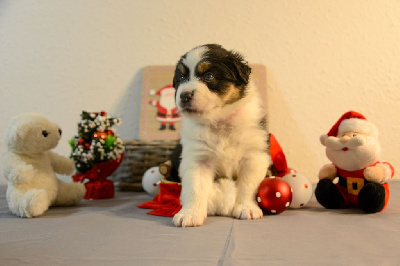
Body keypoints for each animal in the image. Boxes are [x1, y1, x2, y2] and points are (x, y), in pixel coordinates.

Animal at [172, 43, 268, 227]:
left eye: (209, 76)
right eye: (180, 78)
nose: (184, 95)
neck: (220, 122)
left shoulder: (254, 155)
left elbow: (248, 185)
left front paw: (246, 208)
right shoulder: (197, 159)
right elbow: (195, 187)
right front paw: (190, 214)